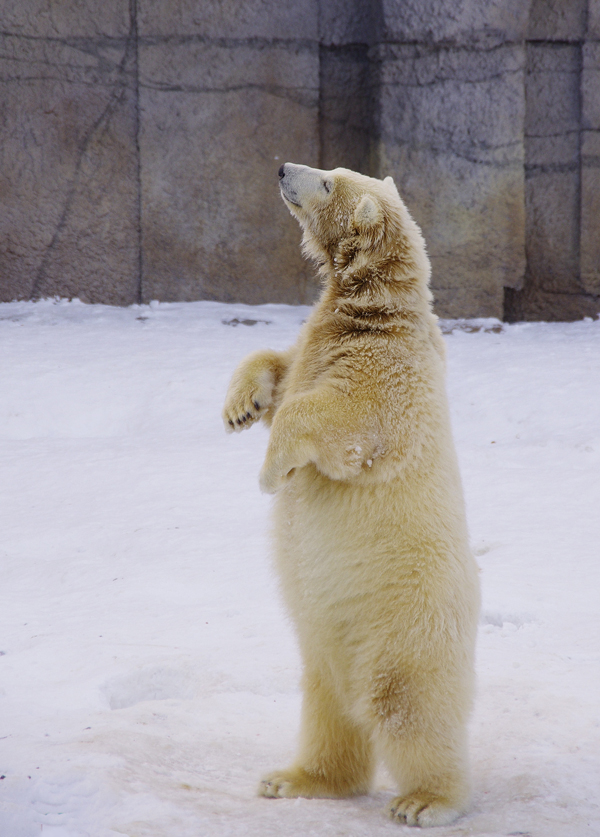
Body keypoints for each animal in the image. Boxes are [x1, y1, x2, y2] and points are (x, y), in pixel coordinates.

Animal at [223, 165, 480, 828]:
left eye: (328, 183)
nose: (283, 169)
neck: (377, 308)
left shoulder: (385, 371)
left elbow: (334, 418)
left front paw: (271, 473)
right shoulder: (319, 343)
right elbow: (281, 368)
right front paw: (240, 407)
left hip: (406, 623)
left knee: (407, 707)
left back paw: (426, 801)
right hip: (324, 641)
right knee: (327, 707)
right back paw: (293, 779)